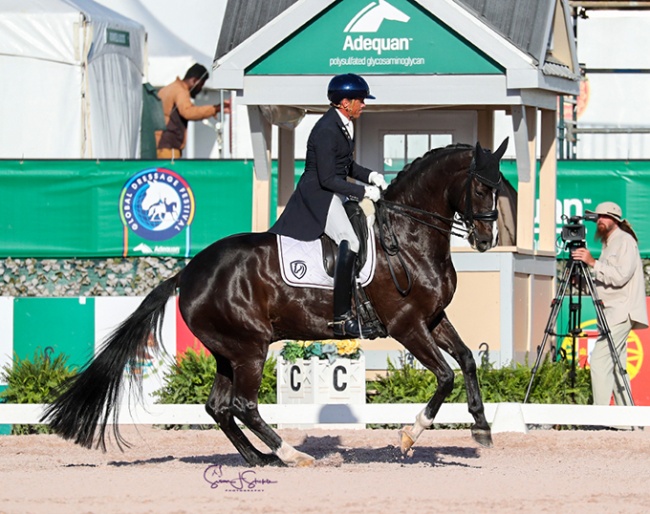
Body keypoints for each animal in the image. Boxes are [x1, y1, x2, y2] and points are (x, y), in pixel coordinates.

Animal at [43, 138, 508, 466]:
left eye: (500, 187)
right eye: (481, 187)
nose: (486, 240)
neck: (409, 238)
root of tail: (188, 273)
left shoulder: (433, 318)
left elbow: (467, 360)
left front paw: (482, 427)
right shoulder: (406, 325)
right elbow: (445, 376)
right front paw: (410, 435)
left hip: (228, 352)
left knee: (219, 407)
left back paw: (259, 458)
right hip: (250, 347)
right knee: (243, 405)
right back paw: (291, 455)